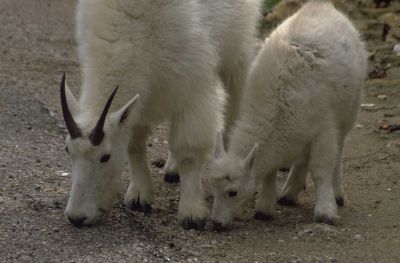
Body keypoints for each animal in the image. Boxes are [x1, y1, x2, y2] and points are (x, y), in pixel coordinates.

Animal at [60, 0, 260, 230]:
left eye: (105, 156)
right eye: (67, 150)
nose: (76, 217)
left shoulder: (192, 87)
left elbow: (189, 152)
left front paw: (192, 213)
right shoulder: (143, 97)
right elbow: (134, 145)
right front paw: (140, 196)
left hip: (236, 49)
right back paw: (172, 169)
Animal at [211, 0, 368, 230]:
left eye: (233, 192)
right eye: (213, 188)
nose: (216, 224)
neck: (276, 108)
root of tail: (323, 6)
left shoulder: (324, 128)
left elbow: (321, 169)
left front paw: (326, 211)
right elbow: (270, 170)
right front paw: (265, 207)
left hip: (351, 108)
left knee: (339, 150)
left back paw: (337, 193)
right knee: (303, 155)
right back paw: (290, 192)